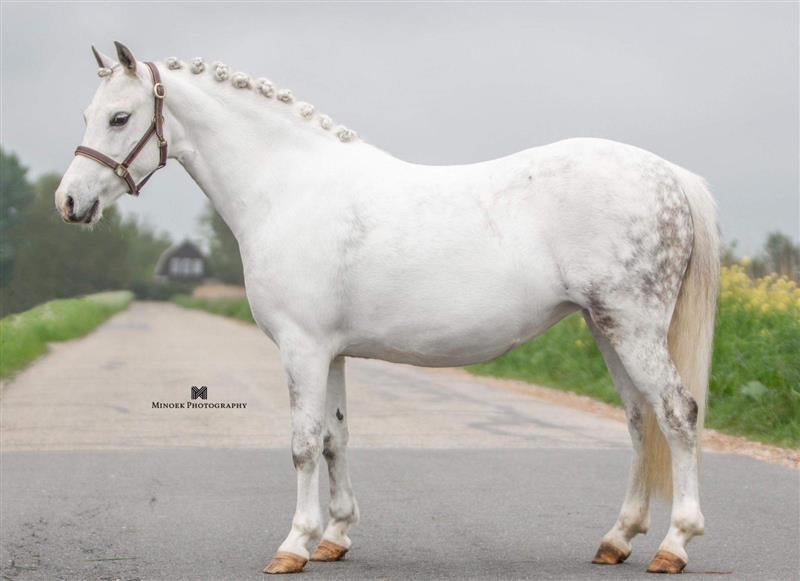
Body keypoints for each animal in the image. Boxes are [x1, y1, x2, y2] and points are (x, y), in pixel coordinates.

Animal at [56, 42, 719, 575]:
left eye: (120, 117)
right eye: (88, 114)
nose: (69, 202)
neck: (288, 187)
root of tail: (670, 176)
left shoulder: (302, 347)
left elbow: (302, 443)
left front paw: (294, 545)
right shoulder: (331, 352)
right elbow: (334, 438)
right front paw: (335, 537)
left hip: (632, 326)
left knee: (678, 414)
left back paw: (673, 545)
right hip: (607, 328)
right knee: (639, 420)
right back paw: (617, 539)